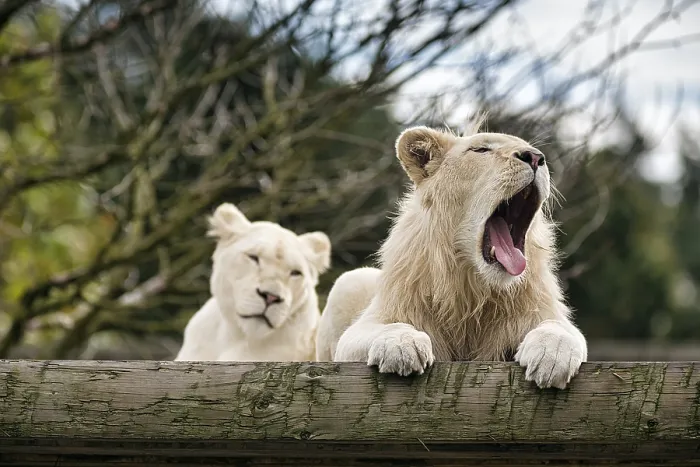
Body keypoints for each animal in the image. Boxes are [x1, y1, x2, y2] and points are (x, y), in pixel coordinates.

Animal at [316, 125, 587, 389]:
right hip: (350, 280)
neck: (471, 286)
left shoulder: (543, 314)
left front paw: (551, 357)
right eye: (480, 150)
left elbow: (559, 328)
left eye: (537, 154)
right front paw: (402, 346)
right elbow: (389, 326)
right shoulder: (361, 331)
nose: (535, 158)